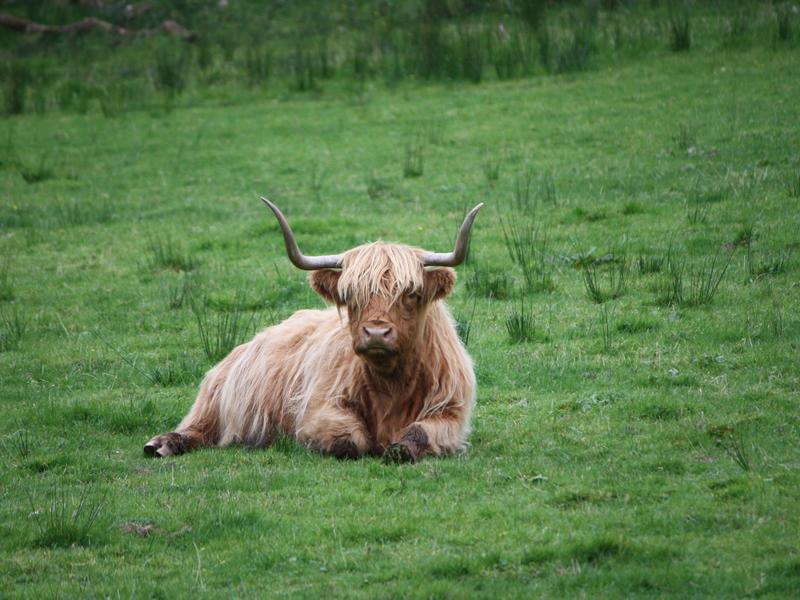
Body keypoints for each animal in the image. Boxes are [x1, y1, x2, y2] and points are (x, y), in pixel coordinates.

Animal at [144, 199, 482, 462]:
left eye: (411, 293)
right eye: (350, 295)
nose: (375, 334)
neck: (391, 383)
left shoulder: (451, 411)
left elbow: (418, 433)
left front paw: (398, 449)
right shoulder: (318, 409)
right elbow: (350, 440)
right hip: (214, 401)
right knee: (196, 427)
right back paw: (161, 444)